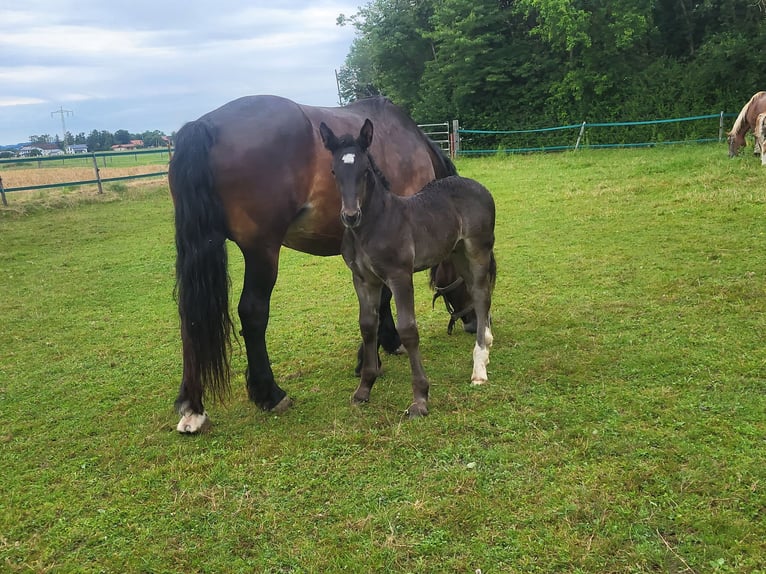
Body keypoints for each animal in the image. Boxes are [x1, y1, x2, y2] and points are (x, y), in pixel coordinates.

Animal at [169, 97, 472, 434]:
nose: (473, 322)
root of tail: (204, 126)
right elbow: (382, 298)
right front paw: (372, 357)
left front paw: (385, 344)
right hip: (262, 251)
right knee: (252, 312)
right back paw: (270, 394)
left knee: (191, 319)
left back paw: (192, 407)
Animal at [320, 120, 496, 418]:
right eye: (334, 171)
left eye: (365, 170)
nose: (350, 216)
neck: (374, 225)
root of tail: (479, 186)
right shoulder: (363, 279)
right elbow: (368, 326)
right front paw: (363, 389)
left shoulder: (399, 276)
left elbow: (408, 330)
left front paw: (420, 400)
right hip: (457, 252)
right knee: (474, 291)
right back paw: (486, 341)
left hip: (477, 251)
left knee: (482, 295)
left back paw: (479, 369)